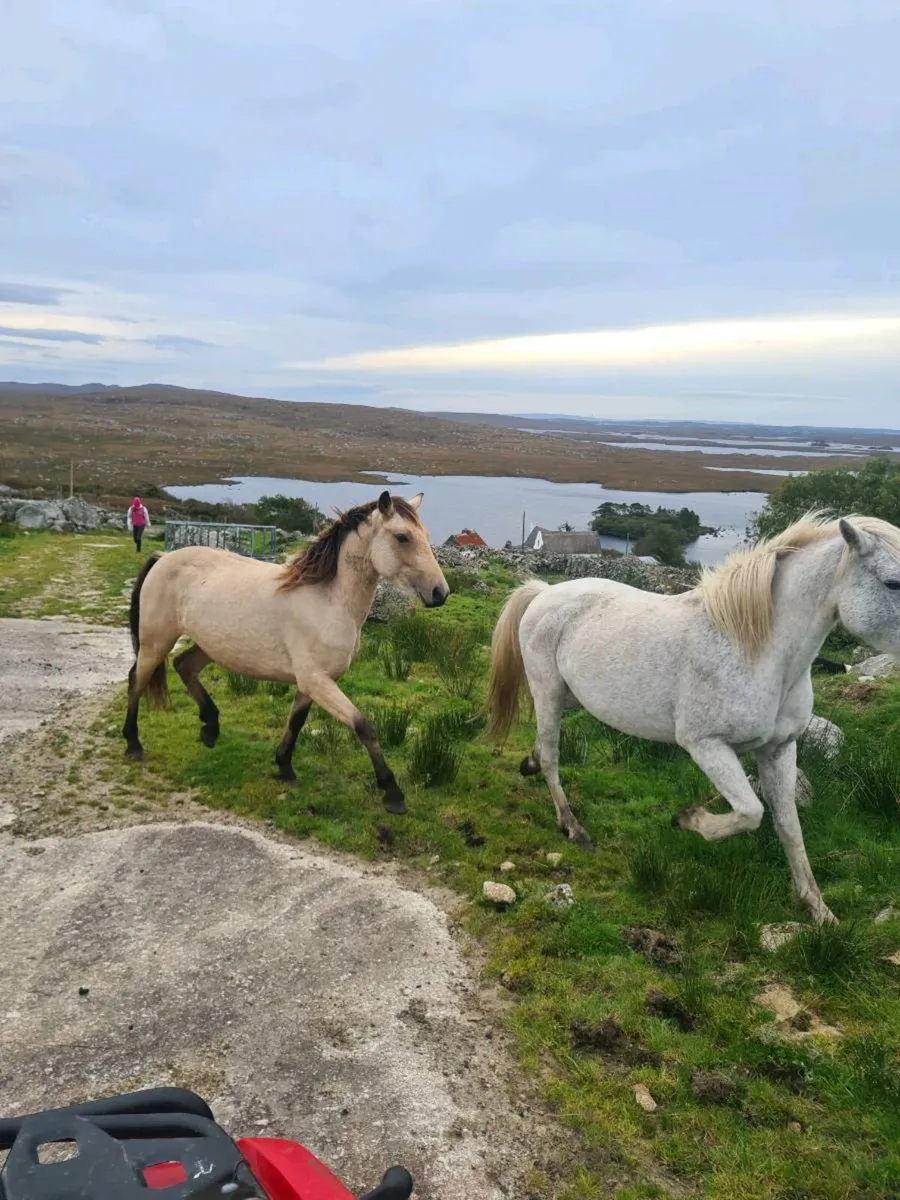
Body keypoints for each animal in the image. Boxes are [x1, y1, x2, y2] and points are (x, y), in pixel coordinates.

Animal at [123, 491, 449, 814]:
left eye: (425, 535)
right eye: (402, 537)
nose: (440, 592)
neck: (327, 600)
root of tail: (163, 558)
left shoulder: (311, 683)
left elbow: (296, 722)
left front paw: (284, 767)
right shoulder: (316, 680)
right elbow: (363, 726)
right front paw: (392, 792)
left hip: (210, 645)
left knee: (183, 665)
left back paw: (210, 728)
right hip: (156, 642)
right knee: (137, 680)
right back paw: (134, 744)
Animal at [487, 513, 900, 924]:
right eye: (893, 582)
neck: (757, 650)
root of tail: (544, 592)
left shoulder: (779, 749)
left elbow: (788, 826)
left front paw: (819, 911)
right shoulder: (706, 745)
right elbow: (750, 812)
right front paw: (687, 819)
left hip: (569, 697)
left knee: (542, 748)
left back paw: (529, 765)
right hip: (547, 693)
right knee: (552, 756)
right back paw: (573, 827)